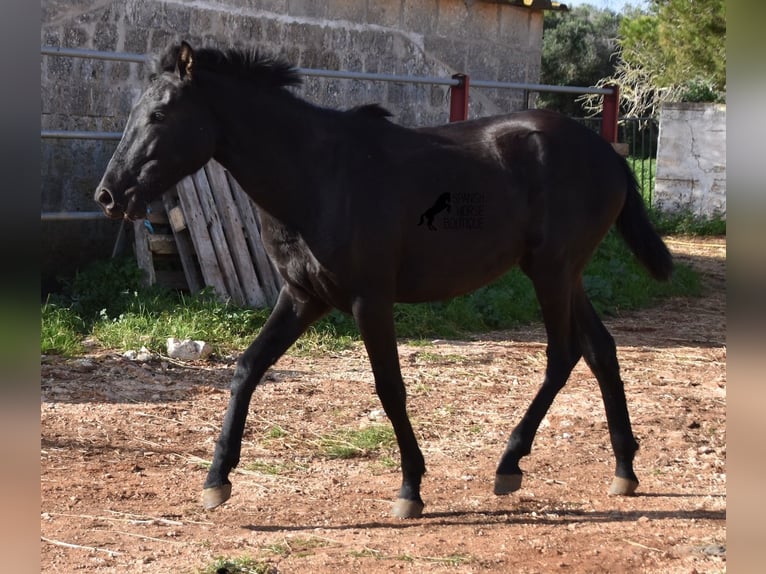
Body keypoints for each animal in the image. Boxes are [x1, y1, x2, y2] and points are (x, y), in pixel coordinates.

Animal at [94, 44, 672, 520]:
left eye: (160, 114)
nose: (109, 195)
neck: (318, 176)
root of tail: (608, 155)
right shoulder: (302, 297)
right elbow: (246, 368)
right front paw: (216, 480)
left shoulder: (369, 300)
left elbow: (389, 386)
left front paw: (410, 488)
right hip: (564, 274)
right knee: (600, 350)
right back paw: (623, 469)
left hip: (551, 272)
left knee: (563, 354)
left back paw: (509, 463)